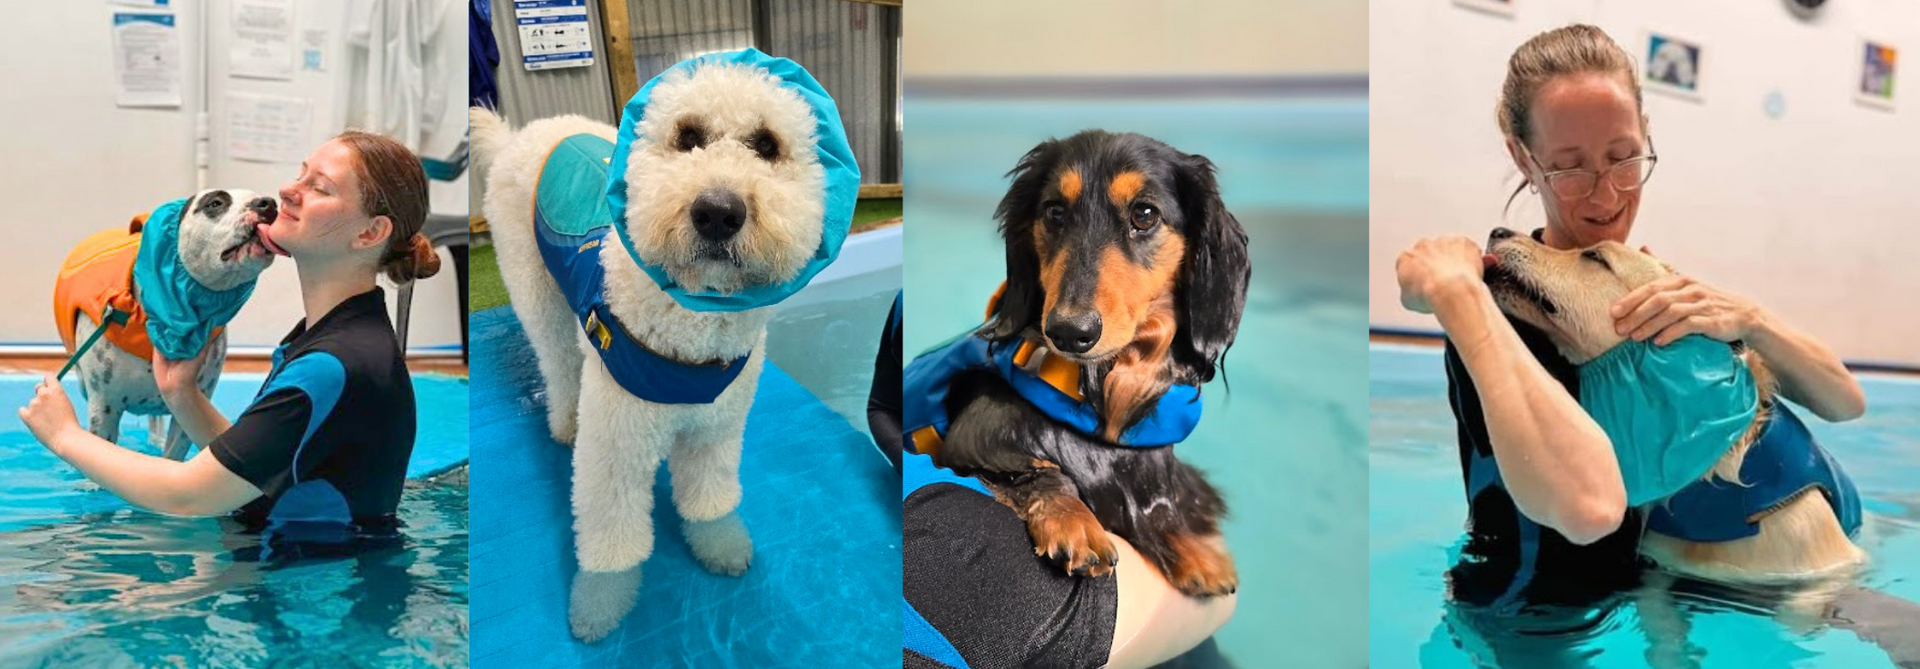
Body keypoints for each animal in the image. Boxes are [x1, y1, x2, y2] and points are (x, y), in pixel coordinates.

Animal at [468, 60, 829, 642]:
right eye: (688, 137)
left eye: (767, 145)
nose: (718, 211)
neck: (694, 330)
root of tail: (522, 134)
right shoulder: (616, 446)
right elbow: (613, 539)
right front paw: (599, 605)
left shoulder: (717, 430)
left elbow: (709, 500)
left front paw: (721, 545)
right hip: (532, 284)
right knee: (557, 359)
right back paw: (564, 421)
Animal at [933, 130, 1259, 595]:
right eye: (1054, 212)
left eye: (1144, 214)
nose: (1069, 332)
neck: (1094, 390)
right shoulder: (973, 442)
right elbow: (1037, 470)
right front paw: (1073, 522)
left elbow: (1167, 498)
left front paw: (1193, 547)